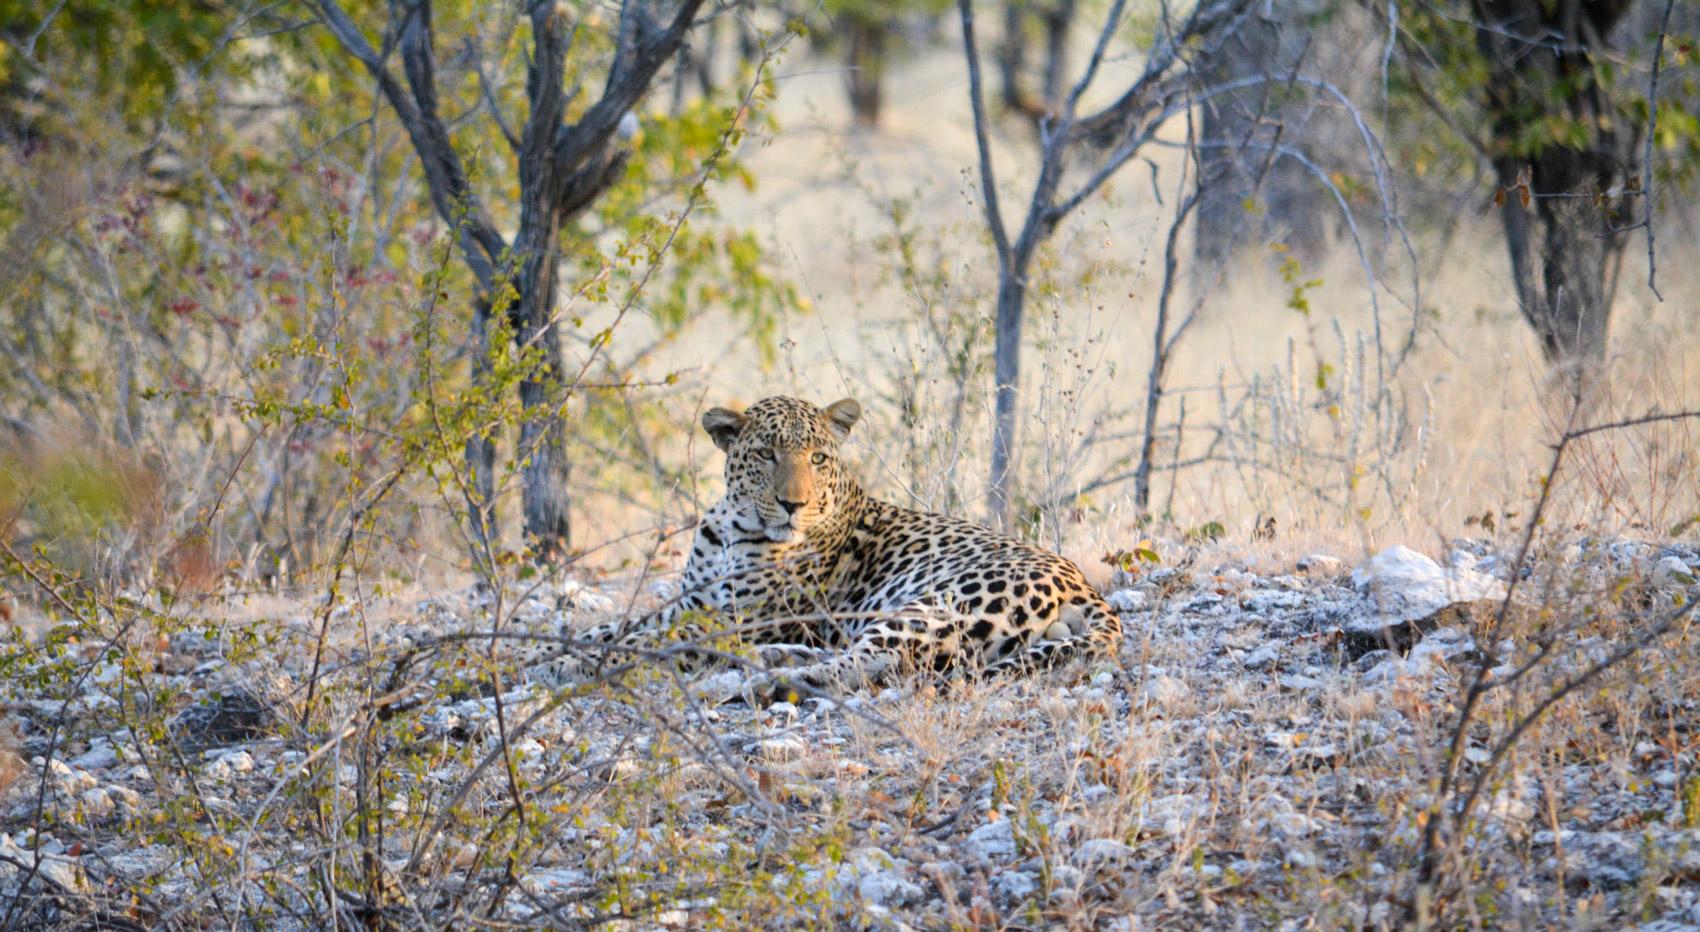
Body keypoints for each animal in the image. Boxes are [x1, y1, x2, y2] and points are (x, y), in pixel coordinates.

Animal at [529, 395, 1122, 699]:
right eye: (766, 454)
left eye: (817, 457)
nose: (793, 504)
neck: (733, 526)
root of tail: (1084, 585)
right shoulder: (692, 604)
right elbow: (616, 626)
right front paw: (540, 651)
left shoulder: (735, 618)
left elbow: (645, 641)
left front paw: (568, 663)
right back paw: (771, 661)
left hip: (932, 605)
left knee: (868, 664)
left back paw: (770, 679)